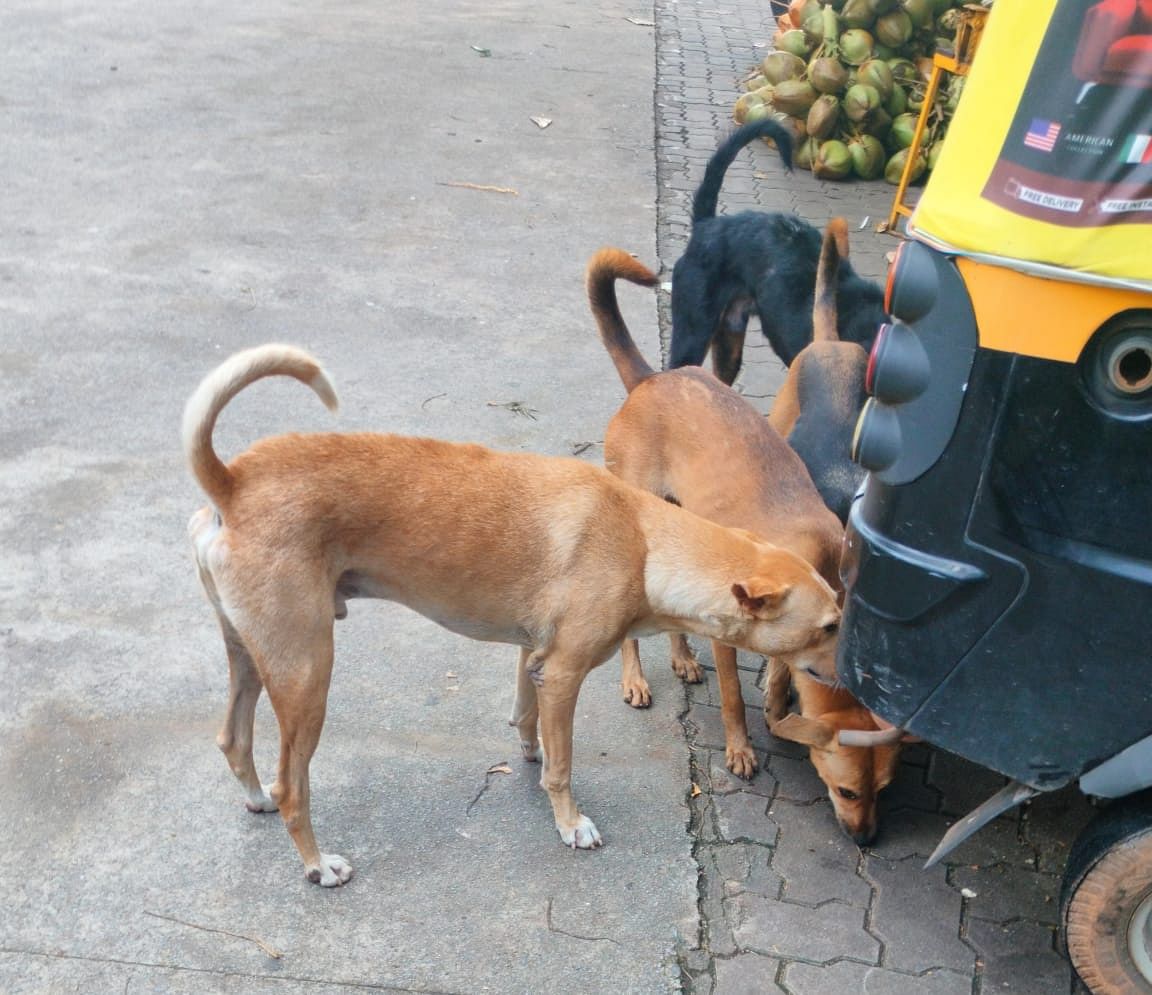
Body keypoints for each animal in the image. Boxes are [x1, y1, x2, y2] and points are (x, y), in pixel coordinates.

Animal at [184, 343, 843, 884]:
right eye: (830, 626)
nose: (861, 679)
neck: (645, 541)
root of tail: (233, 481)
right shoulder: (566, 673)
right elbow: (563, 765)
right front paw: (569, 822)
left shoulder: (536, 657)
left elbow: (528, 719)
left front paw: (531, 750)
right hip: (306, 674)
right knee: (292, 787)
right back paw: (318, 864)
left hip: (251, 656)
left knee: (233, 740)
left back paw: (256, 798)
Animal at [589, 246, 843, 778]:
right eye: (826, 629)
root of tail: (651, 379)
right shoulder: (727, 642)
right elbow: (732, 699)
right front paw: (740, 749)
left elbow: (775, 675)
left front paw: (777, 708)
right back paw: (634, 678)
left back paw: (682, 658)